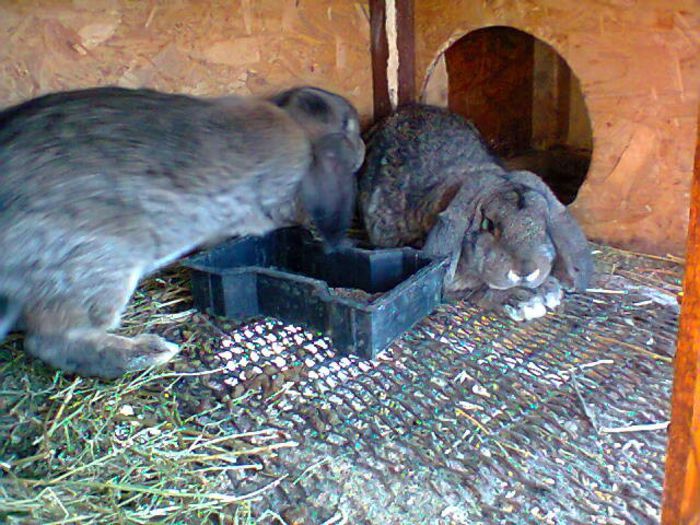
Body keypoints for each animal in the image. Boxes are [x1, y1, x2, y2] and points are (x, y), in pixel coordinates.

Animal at [0, 85, 360, 376]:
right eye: (347, 125)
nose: (360, 151)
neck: (298, 127)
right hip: (101, 266)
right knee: (51, 341)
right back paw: (148, 352)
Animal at [358, 105, 592, 322]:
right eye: (488, 225)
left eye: (543, 225)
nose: (525, 271)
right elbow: (480, 289)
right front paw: (525, 300)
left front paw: (547, 289)